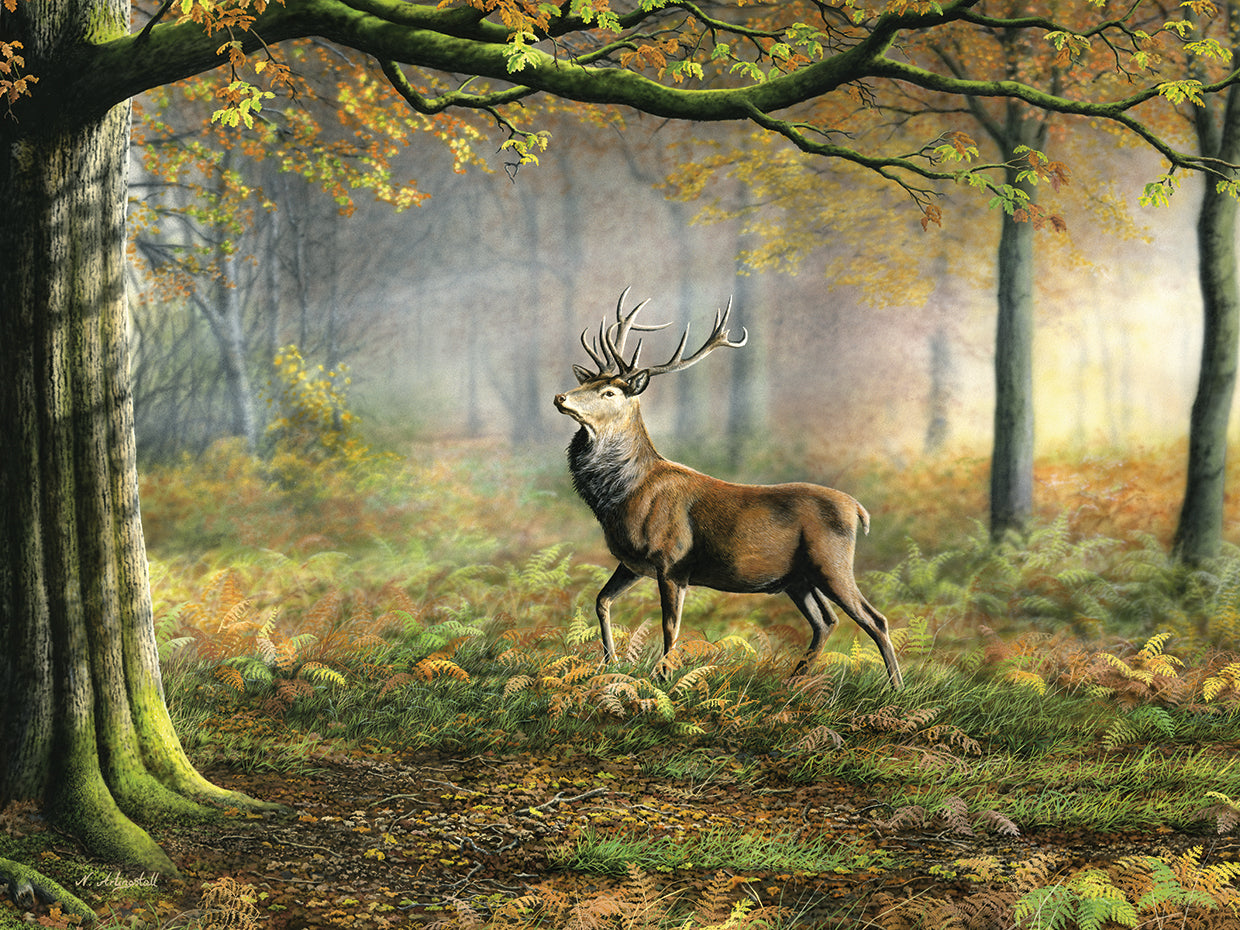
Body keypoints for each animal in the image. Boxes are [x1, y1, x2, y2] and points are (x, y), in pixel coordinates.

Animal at [553, 289, 903, 690]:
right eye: (586, 383)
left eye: (609, 391)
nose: (561, 397)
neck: (623, 496)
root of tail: (858, 509)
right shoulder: (632, 562)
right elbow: (601, 601)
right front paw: (610, 662)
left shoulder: (672, 560)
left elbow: (670, 625)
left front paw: (663, 677)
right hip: (798, 578)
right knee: (826, 620)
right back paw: (791, 681)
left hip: (832, 563)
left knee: (874, 618)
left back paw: (896, 688)